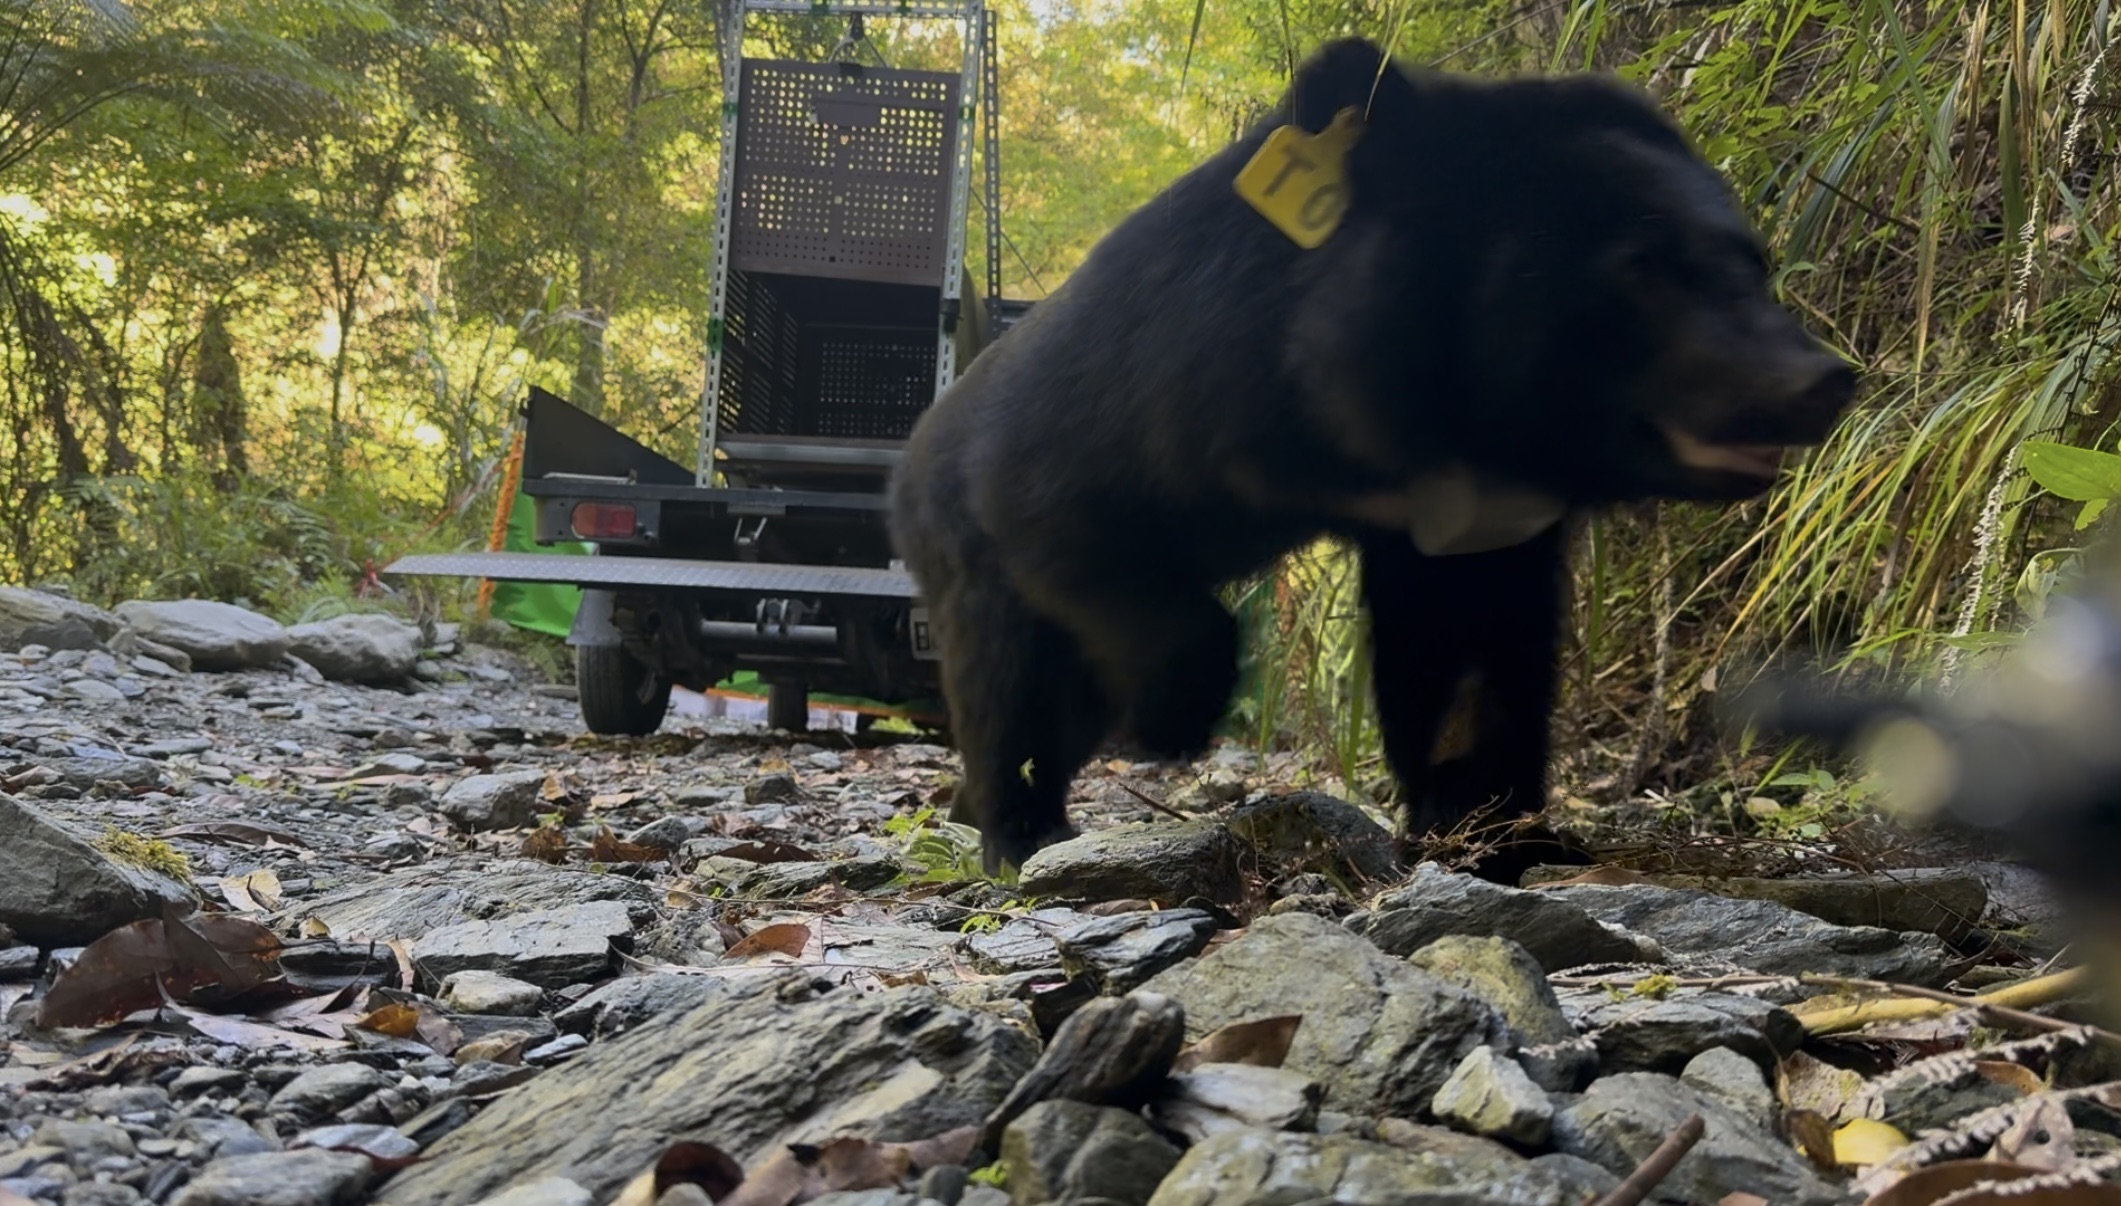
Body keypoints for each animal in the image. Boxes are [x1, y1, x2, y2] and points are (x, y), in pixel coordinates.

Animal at [887, 37, 1856, 879]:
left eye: (1753, 261)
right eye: (1642, 269)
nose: (1822, 380)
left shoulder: (1473, 518)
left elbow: (1471, 654)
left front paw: (1494, 836)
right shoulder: (1145, 404)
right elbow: (1074, 527)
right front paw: (1173, 720)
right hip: (959, 548)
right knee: (1009, 686)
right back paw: (1018, 828)